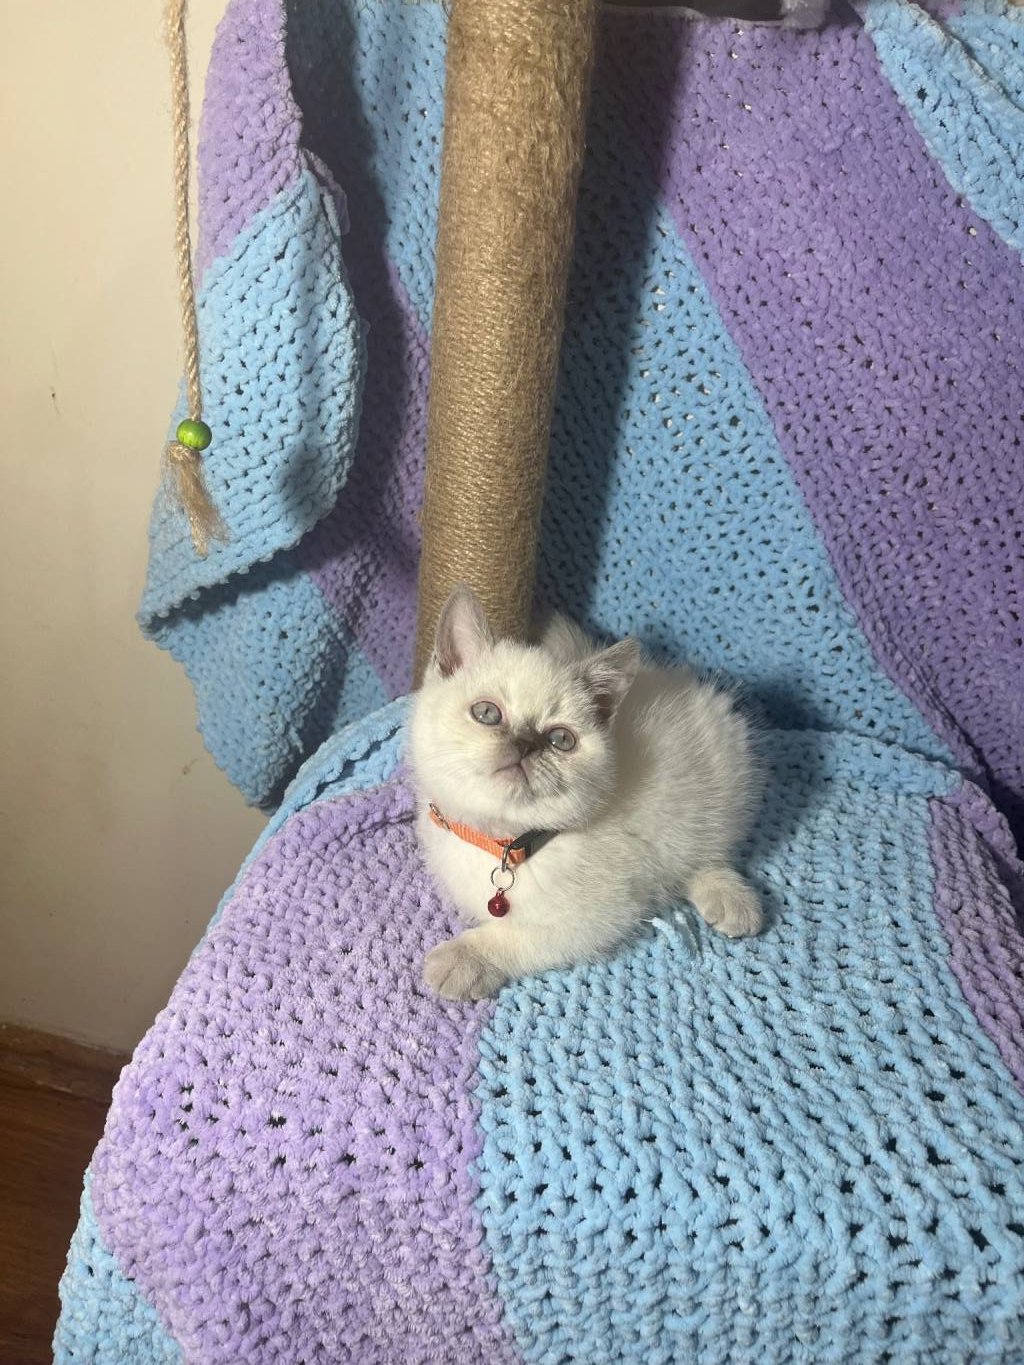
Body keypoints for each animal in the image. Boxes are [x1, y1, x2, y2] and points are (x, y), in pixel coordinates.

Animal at [409, 586, 764, 1000]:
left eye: (560, 739)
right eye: (486, 713)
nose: (526, 744)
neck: (502, 843)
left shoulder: (600, 914)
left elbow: (514, 935)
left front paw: (460, 960)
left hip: (720, 788)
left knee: (710, 853)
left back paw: (733, 903)